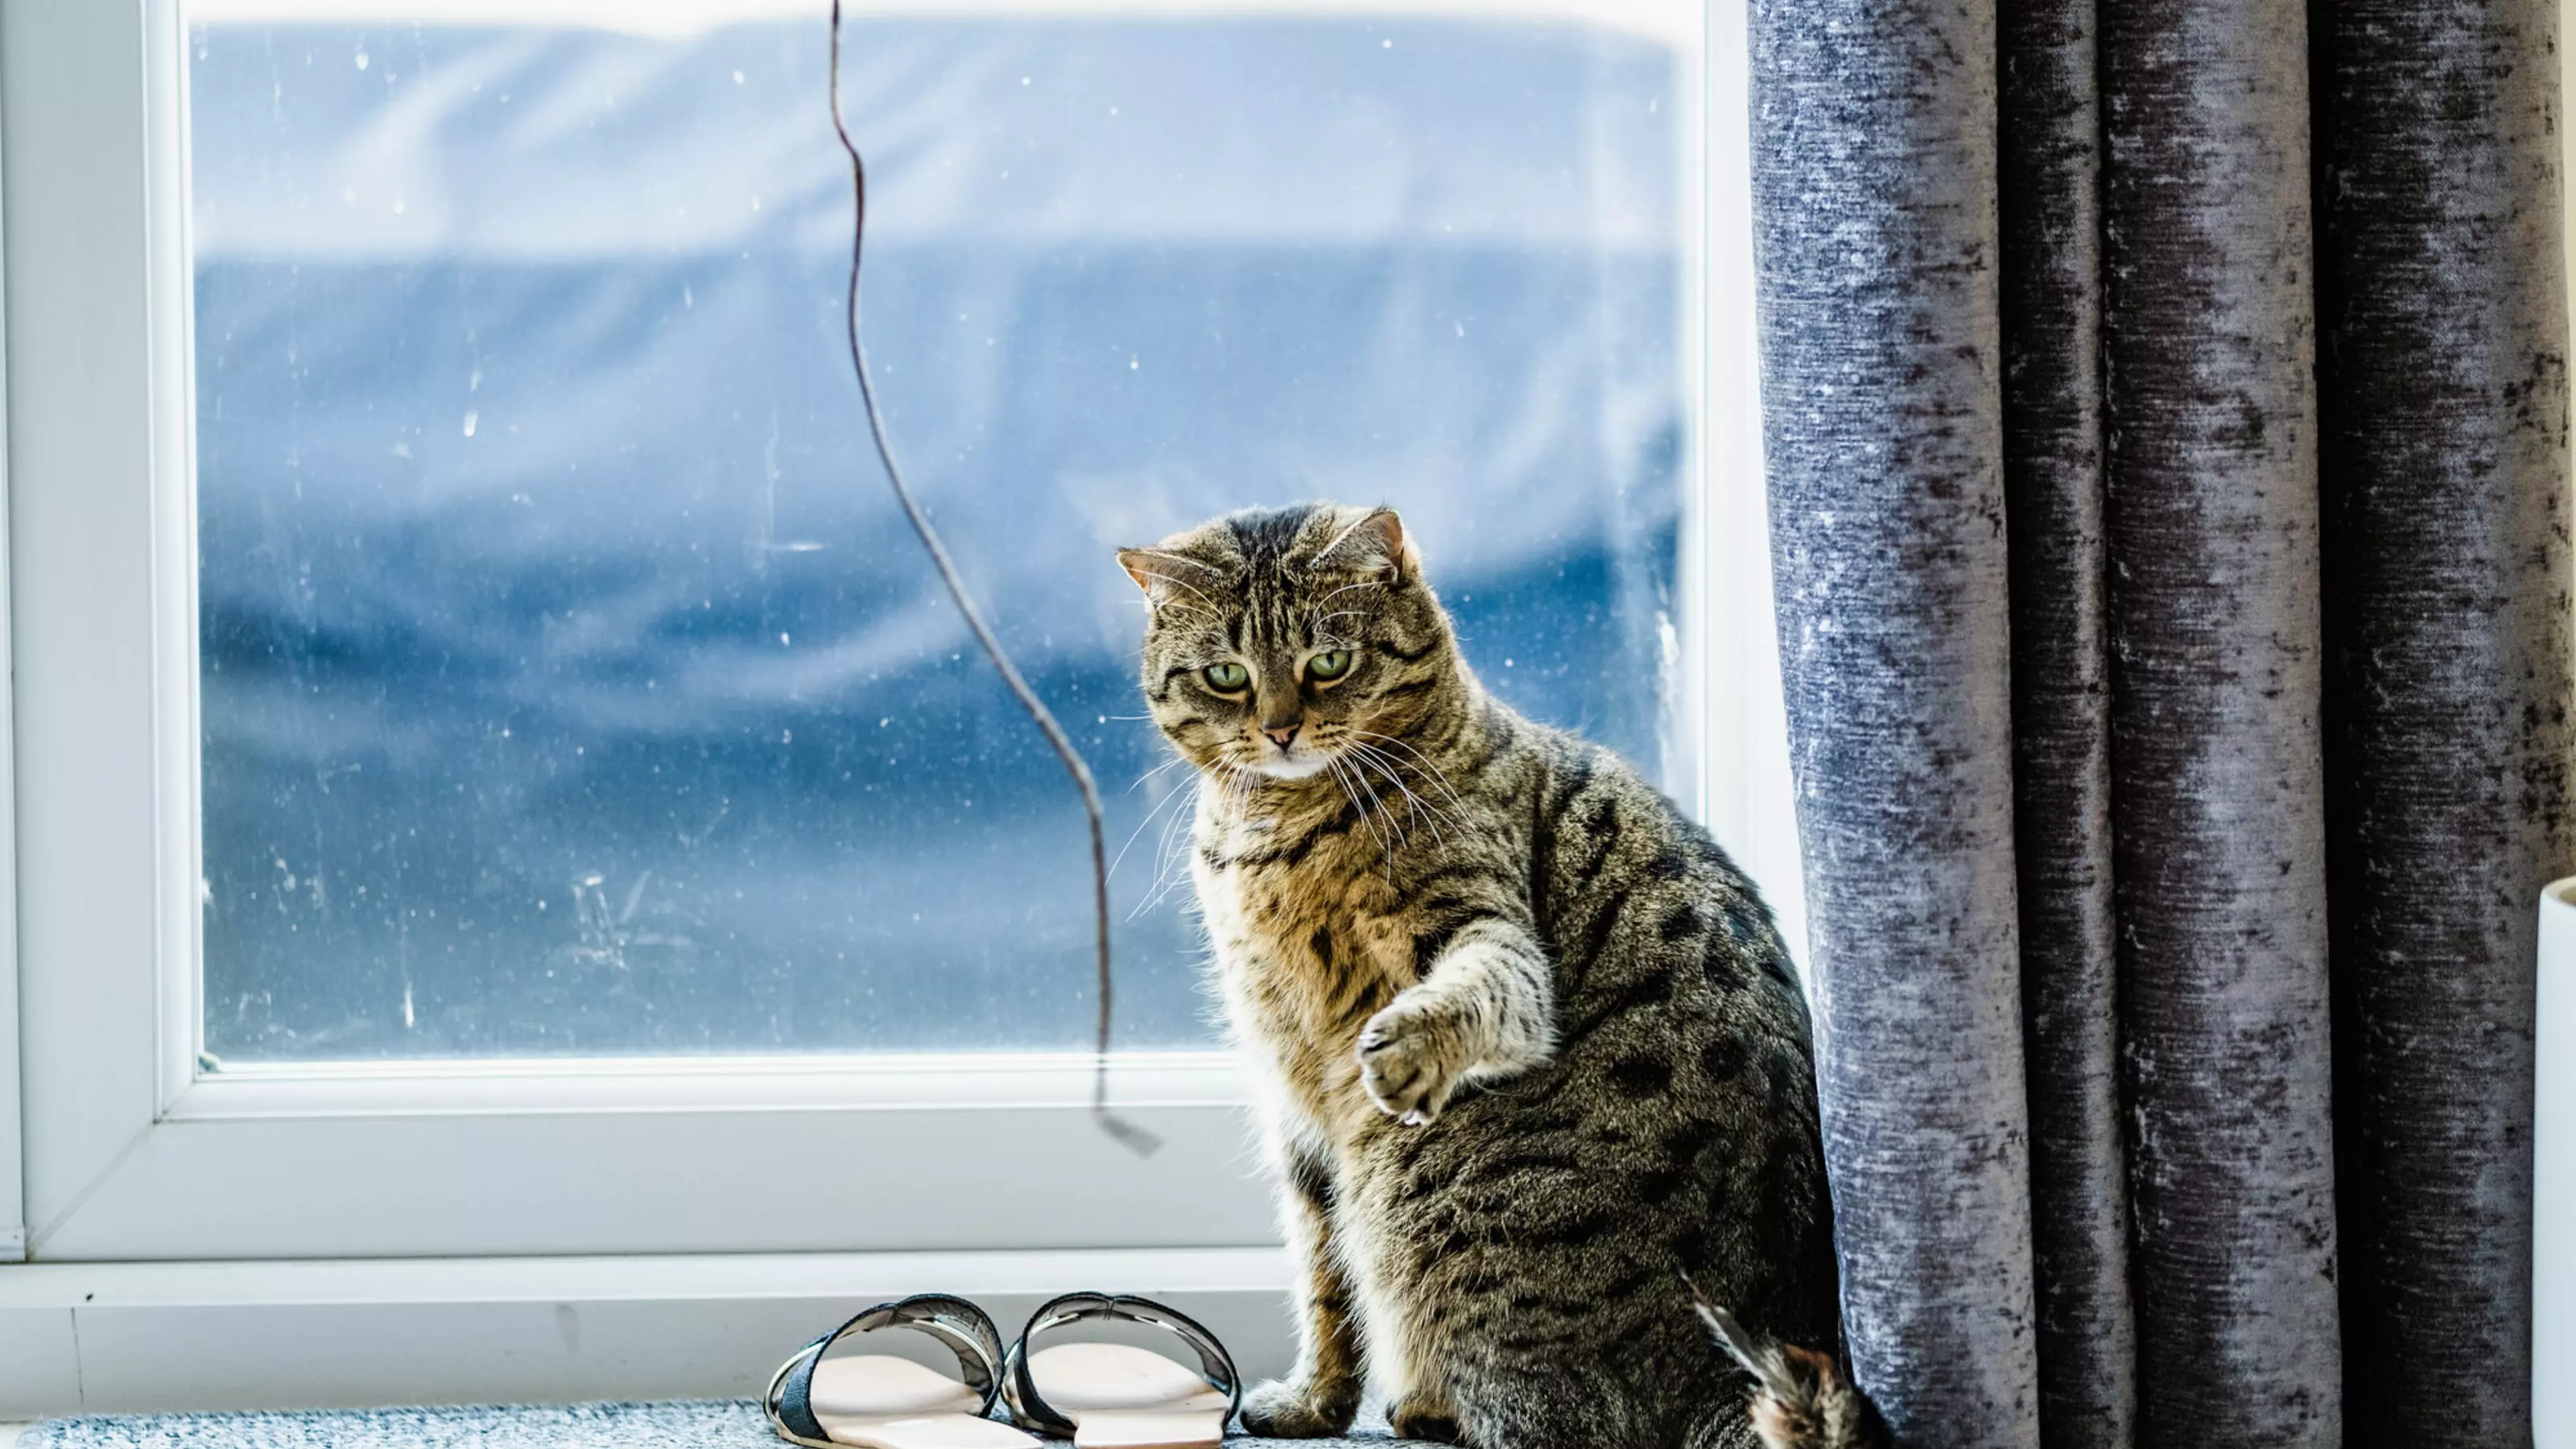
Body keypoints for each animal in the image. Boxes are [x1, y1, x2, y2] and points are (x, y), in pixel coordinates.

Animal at [1117, 505, 1885, 1443]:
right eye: (1226, 676)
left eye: (1328, 662)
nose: (1280, 729)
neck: (1275, 828)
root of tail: (1721, 1376)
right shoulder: (1292, 1103)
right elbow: (1324, 1281)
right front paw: (1311, 1405)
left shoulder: (1483, 926)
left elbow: (1491, 988)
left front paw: (1411, 1047)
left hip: (1437, 1221)